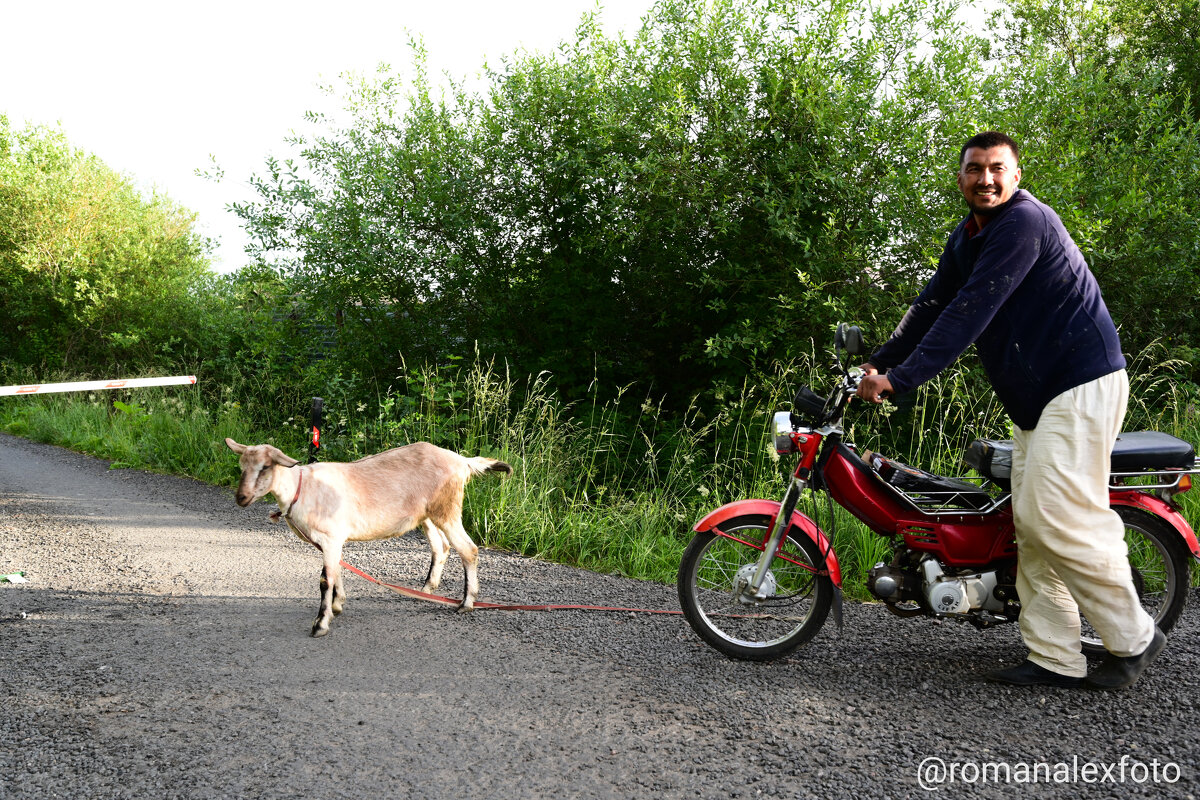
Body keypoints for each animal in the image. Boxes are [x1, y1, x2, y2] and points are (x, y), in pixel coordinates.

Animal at [225, 438, 511, 638]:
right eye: (241, 466)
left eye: (265, 467)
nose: (241, 498)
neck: (301, 488)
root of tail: (461, 461)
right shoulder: (332, 540)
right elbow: (336, 572)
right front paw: (338, 606)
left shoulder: (330, 537)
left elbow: (325, 580)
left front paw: (320, 624)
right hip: (427, 515)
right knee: (441, 547)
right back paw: (426, 590)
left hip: (447, 509)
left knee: (468, 549)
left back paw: (466, 602)